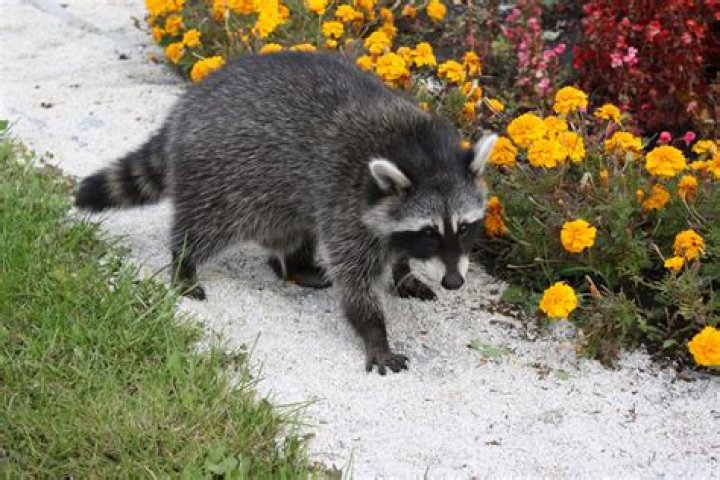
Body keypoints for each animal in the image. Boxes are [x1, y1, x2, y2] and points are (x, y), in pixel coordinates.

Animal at [75, 52, 497, 375]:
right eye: (428, 232)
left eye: (464, 228)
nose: (454, 282)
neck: (418, 148)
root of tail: (185, 107)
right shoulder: (347, 203)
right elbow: (355, 282)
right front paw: (375, 333)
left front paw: (403, 270)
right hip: (223, 176)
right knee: (209, 224)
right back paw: (184, 261)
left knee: (292, 226)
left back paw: (295, 264)